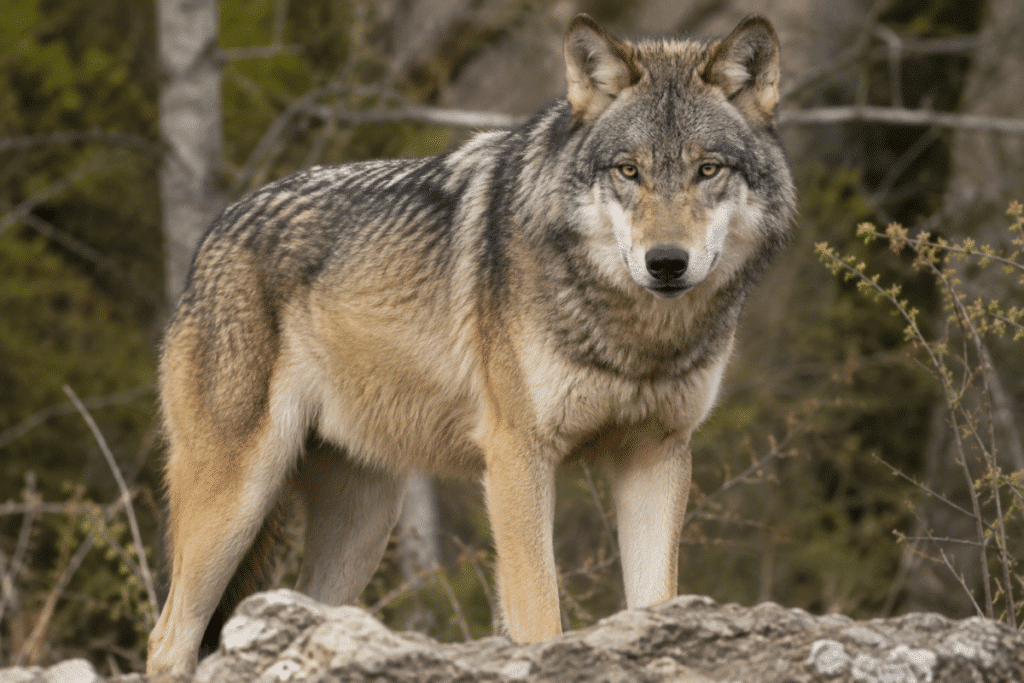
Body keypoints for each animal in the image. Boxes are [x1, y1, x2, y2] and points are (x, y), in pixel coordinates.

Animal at [147, 13, 795, 675]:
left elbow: (653, 602)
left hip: (363, 525)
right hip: (236, 501)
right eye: (628, 171)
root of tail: (215, 234)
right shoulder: (517, 457)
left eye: (708, 170)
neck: (636, 339)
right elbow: (539, 619)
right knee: (167, 638)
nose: (665, 263)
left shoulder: (657, 456)